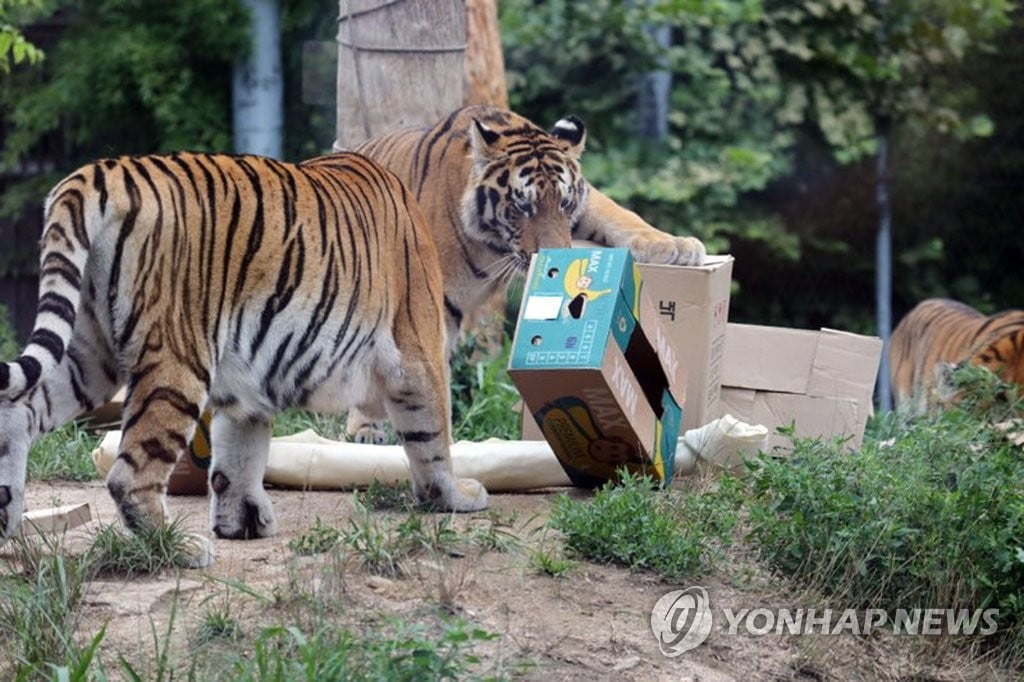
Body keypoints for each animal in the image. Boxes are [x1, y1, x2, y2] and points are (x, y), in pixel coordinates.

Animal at [0, 151, 487, 565]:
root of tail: (95, 173)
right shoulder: (418, 352)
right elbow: (433, 436)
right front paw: (455, 496)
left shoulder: (245, 385)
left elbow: (238, 456)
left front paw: (242, 522)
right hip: (176, 358)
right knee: (129, 474)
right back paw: (178, 546)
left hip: (88, 350)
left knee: (20, 408)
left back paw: (6, 516)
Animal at [344, 102, 704, 440]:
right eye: (523, 206)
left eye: (564, 202)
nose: (558, 259)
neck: (493, 244)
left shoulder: (588, 202)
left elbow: (621, 215)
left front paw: (677, 246)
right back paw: (365, 428)